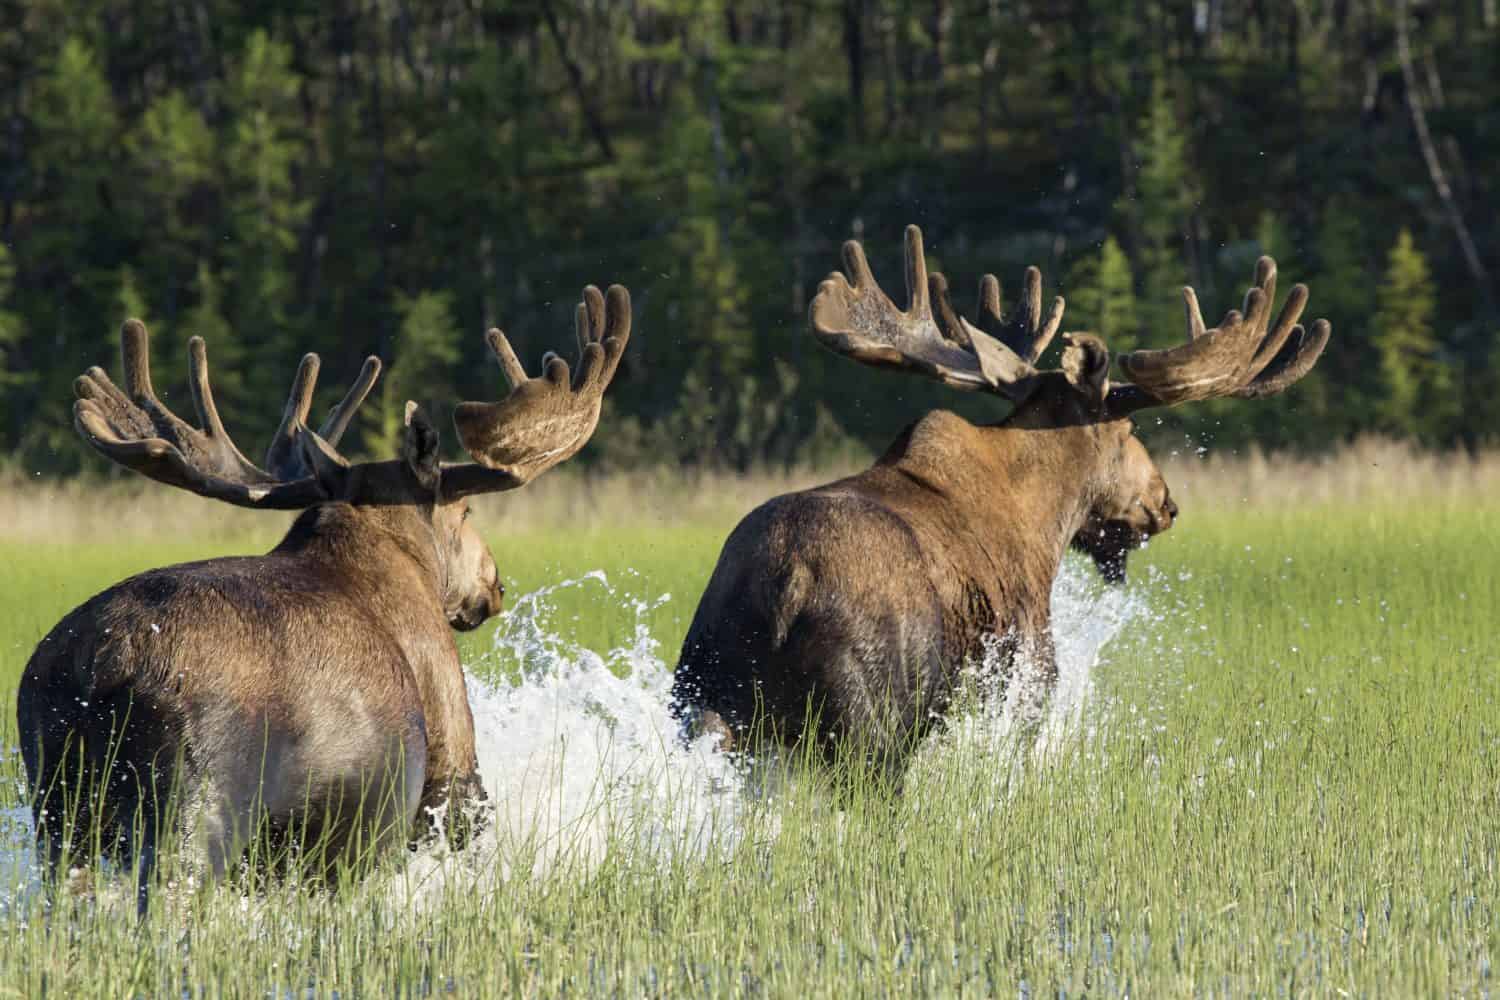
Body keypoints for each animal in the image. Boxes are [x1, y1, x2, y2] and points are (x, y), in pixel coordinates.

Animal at [19, 283, 627, 917]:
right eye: (464, 512)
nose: (494, 584)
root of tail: (99, 667)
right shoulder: (450, 769)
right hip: (194, 799)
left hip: (56, 803)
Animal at [675, 226, 1332, 773]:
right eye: (1127, 432)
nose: (1165, 503)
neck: (1045, 520)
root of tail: (783, 584)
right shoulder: (1030, 663)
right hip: (867, 723)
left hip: (704, 698)